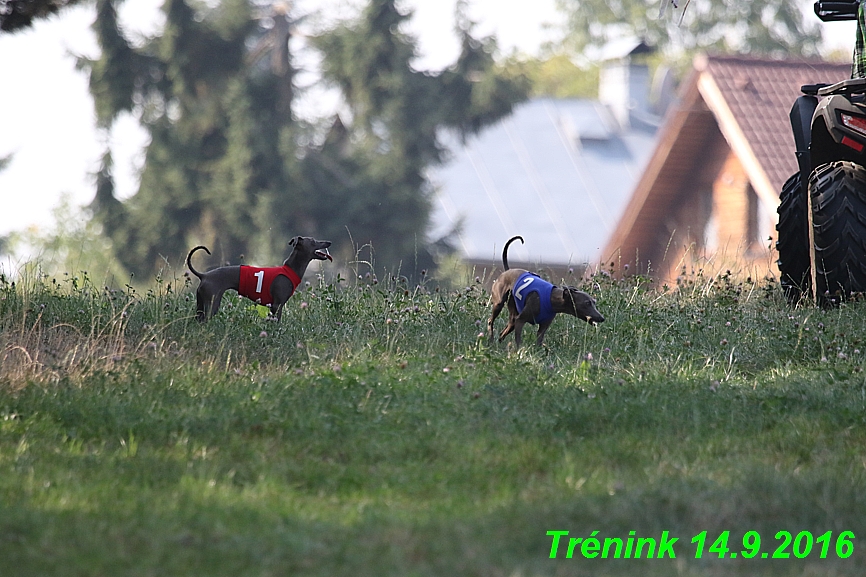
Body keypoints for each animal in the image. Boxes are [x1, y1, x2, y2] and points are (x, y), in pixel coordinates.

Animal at [186, 236, 330, 322]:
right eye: (313, 241)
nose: (329, 242)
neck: (290, 269)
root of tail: (204, 275)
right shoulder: (277, 305)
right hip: (212, 304)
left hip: (200, 304)